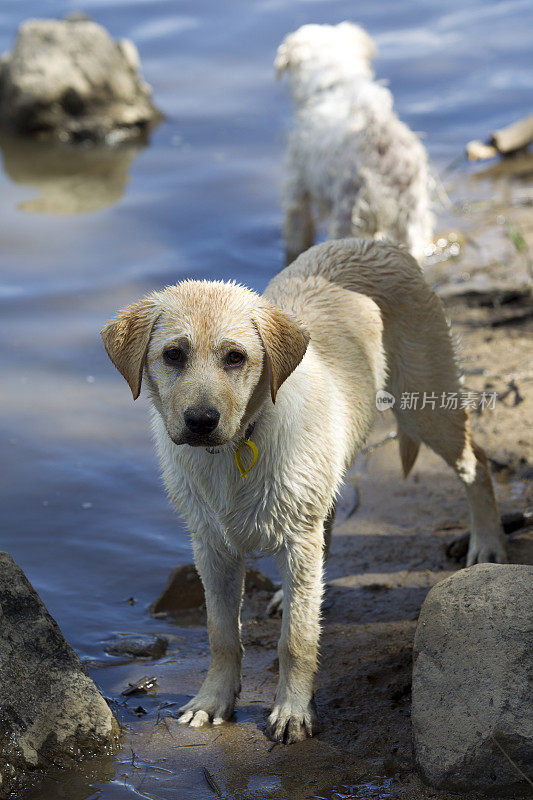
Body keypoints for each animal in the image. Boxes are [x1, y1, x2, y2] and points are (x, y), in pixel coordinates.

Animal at [102, 238, 504, 744]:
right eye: (173, 354)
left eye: (235, 357)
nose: (201, 421)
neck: (238, 446)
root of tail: (372, 242)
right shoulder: (211, 547)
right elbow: (221, 633)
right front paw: (213, 702)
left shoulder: (296, 542)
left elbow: (296, 639)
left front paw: (293, 711)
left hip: (426, 408)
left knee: (479, 463)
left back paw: (487, 543)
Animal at [276, 22, 434, 262]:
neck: (335, 83)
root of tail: (378, 133)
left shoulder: (297, 186)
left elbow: (297, 233)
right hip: (413, 212)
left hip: (349, 213)